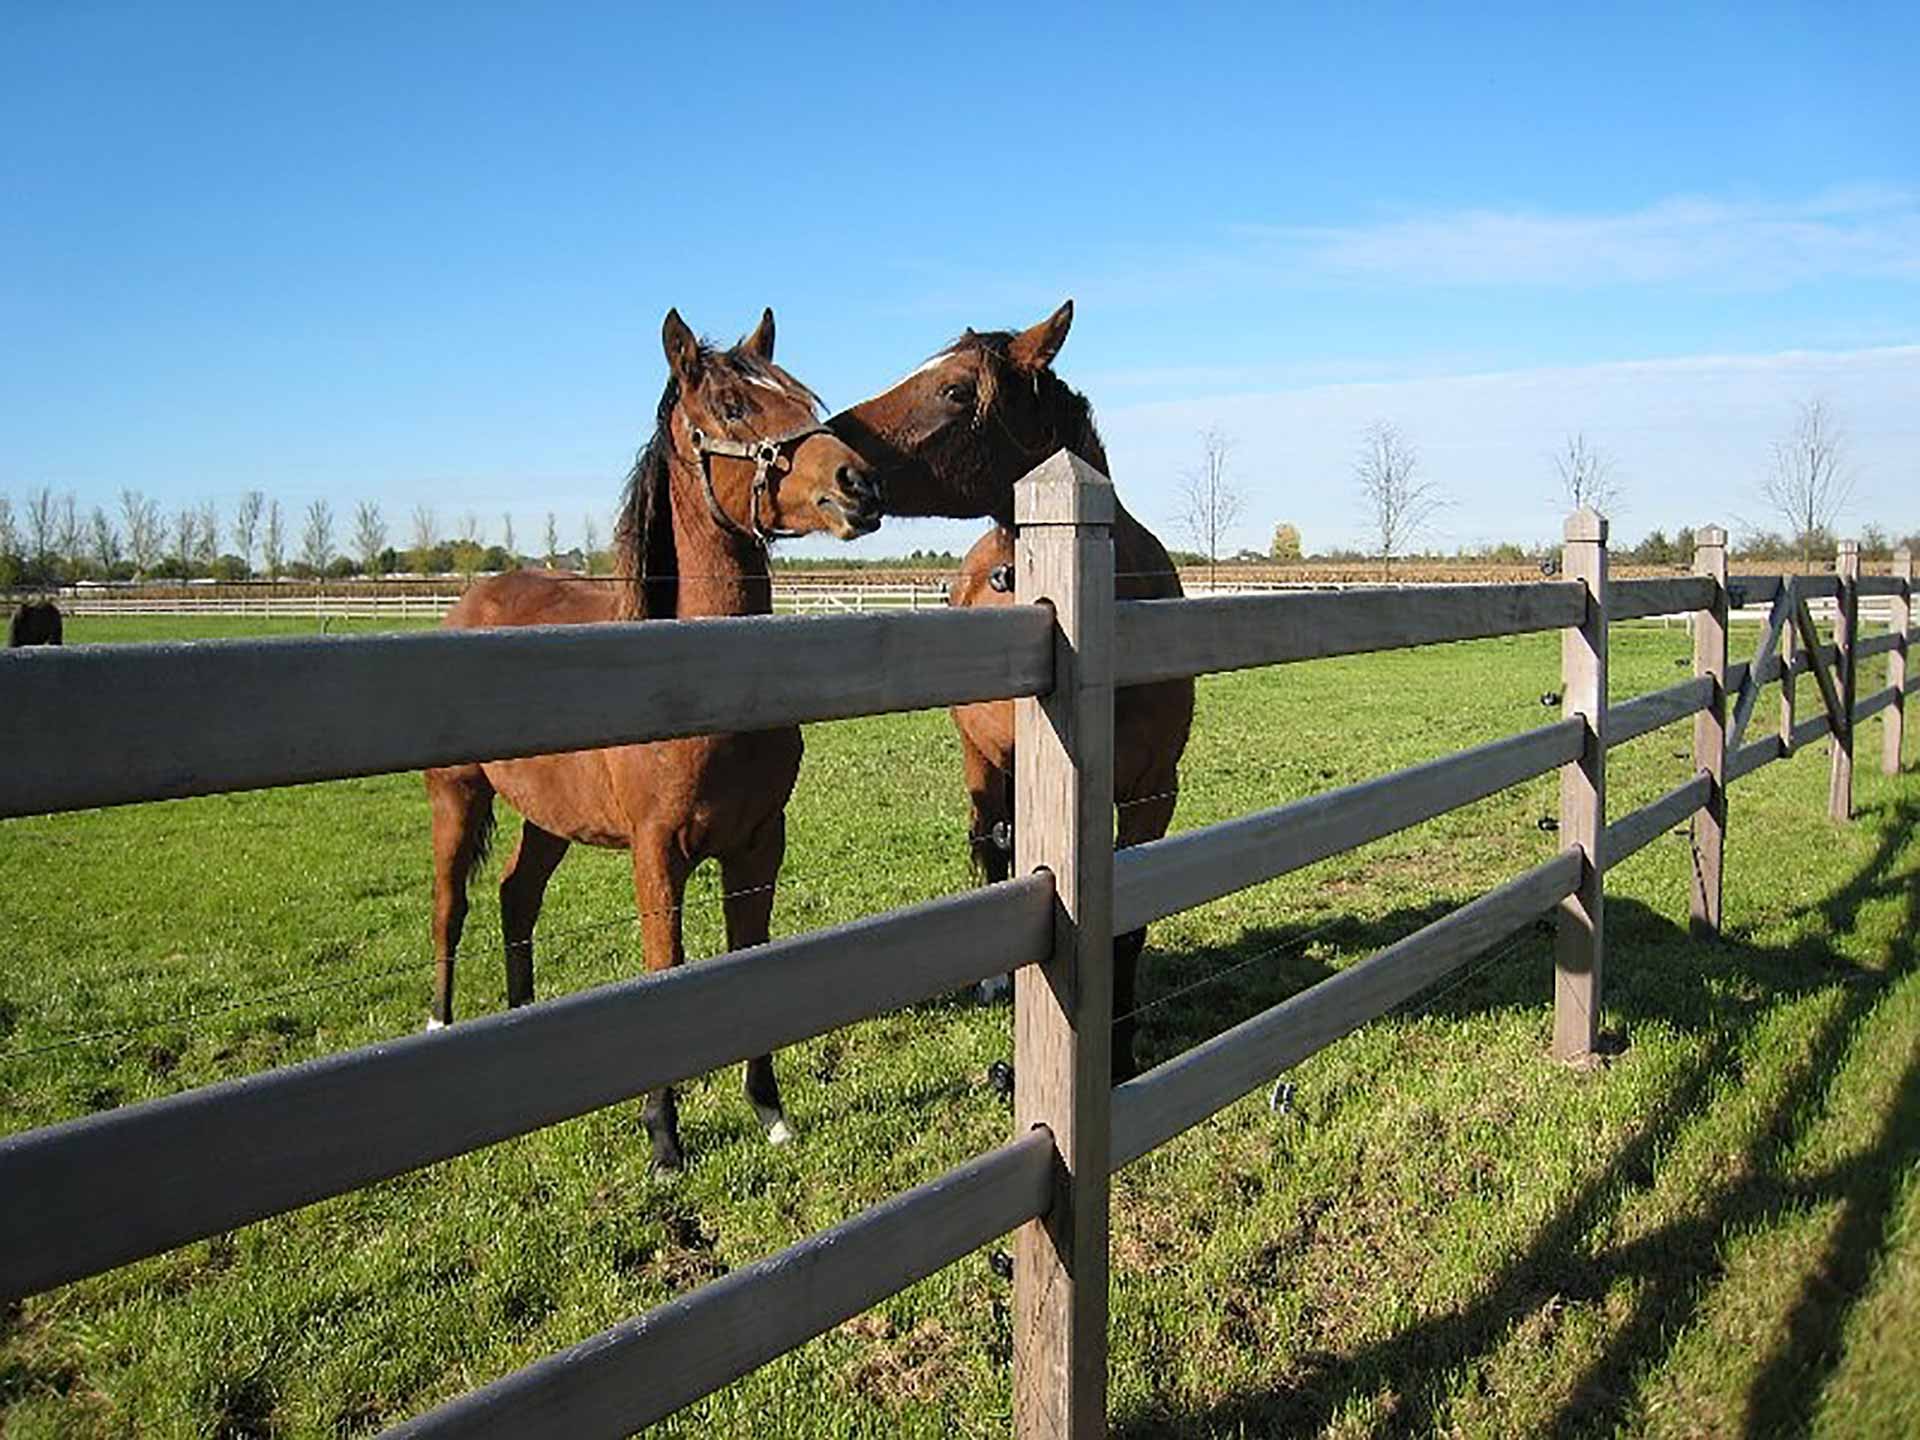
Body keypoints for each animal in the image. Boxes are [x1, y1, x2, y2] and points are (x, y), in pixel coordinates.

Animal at [424, 307, 879, 1175]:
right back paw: (438, 1023)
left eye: (803, 398)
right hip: (455, 796)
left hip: (548, 817)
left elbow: (749, 957)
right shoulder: (657, 851)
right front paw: (664, 1136)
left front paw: (769, 1110)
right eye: (734, 406)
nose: (859, 483)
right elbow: (665, 969)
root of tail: (474, 598)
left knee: (515, 895)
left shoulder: (758, 845)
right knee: (449, 904)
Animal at [833, 305, 1190, 1082]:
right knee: (988, 845)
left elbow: (1129, 928)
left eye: (957, 390)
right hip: (982, 759)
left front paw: (1120, 1055)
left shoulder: (1154, 792)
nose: (818, 454)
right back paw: (996, 980)